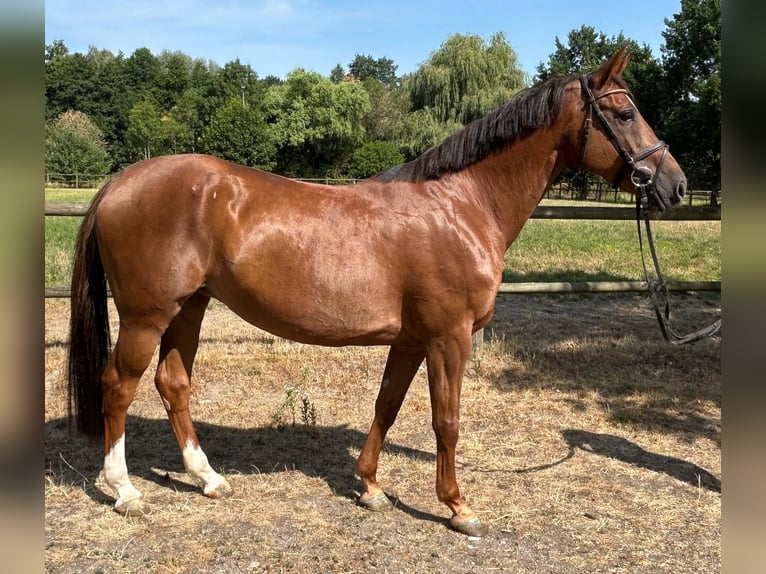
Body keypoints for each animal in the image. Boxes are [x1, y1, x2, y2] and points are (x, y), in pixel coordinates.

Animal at [67, 48, 686, 537]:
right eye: (624, 113)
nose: (675, 186)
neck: (461, 206)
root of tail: (121, 182)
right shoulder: (449, 338)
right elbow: (446, 420)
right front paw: (458, 507)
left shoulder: (411, 340)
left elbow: (386, 407)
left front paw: (369, 488)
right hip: (146, 316)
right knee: (119, 386)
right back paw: (125, 491)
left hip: (188, 309)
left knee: (173, 384)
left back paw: (208, 479)